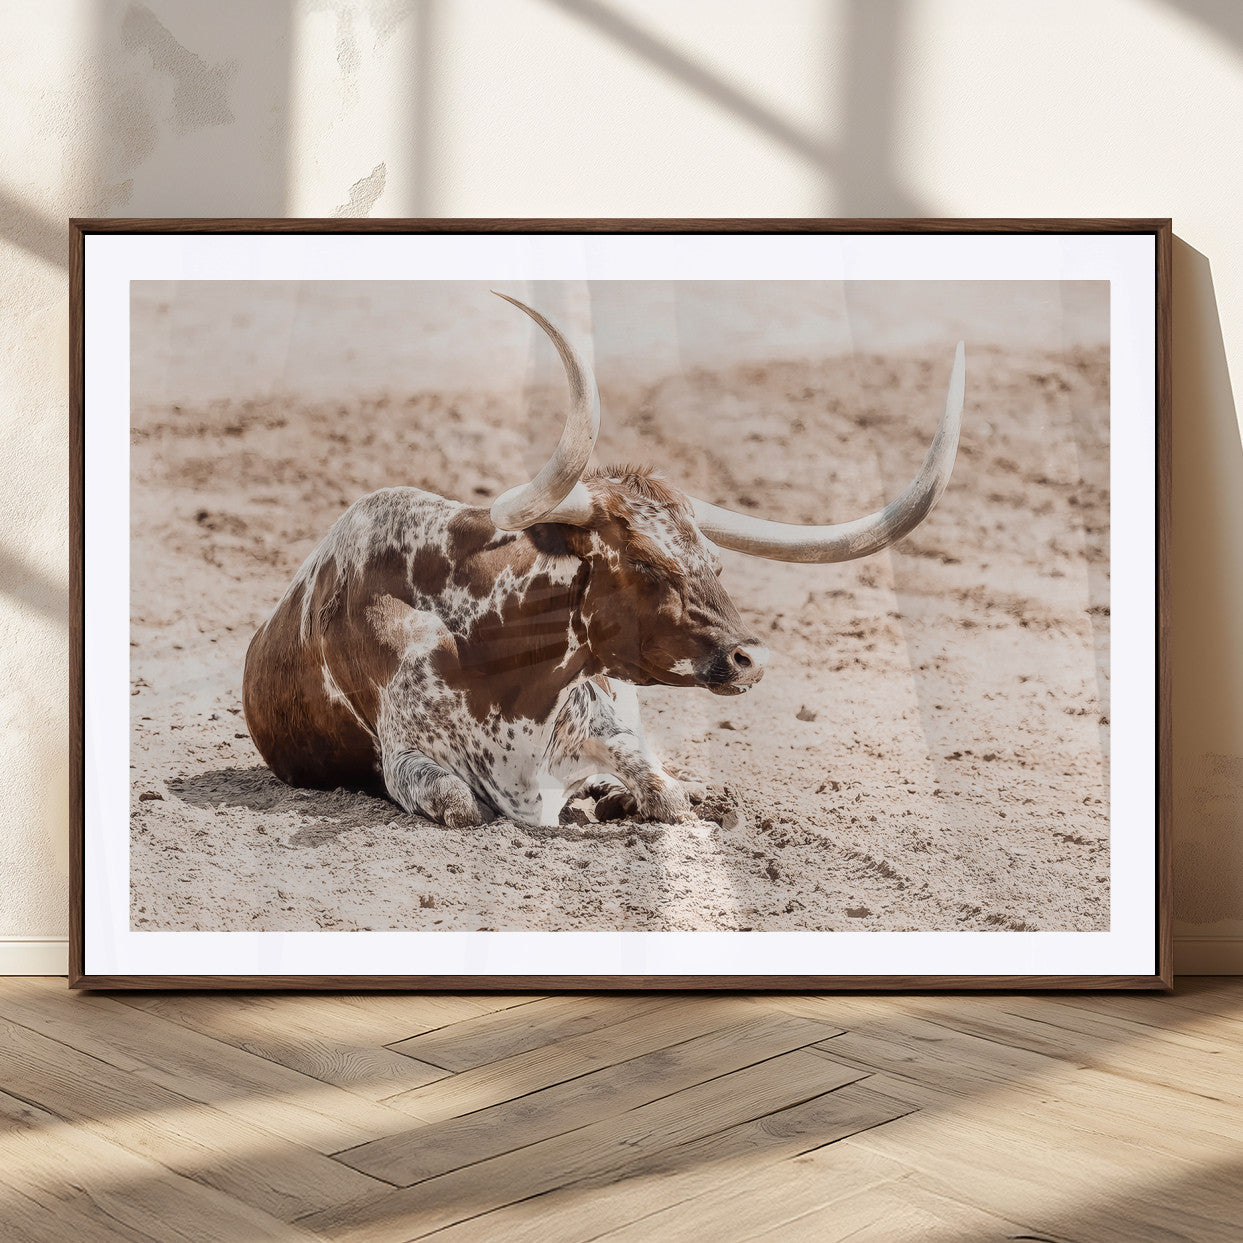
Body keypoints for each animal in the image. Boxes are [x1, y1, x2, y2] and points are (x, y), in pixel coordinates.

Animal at [243, 294, 964, 828]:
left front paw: (636, 796)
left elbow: (662, 789)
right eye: (644, 564)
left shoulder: (606, 724)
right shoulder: (408, 761)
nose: (749, 659)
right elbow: (462, 803)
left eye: (714, 562)